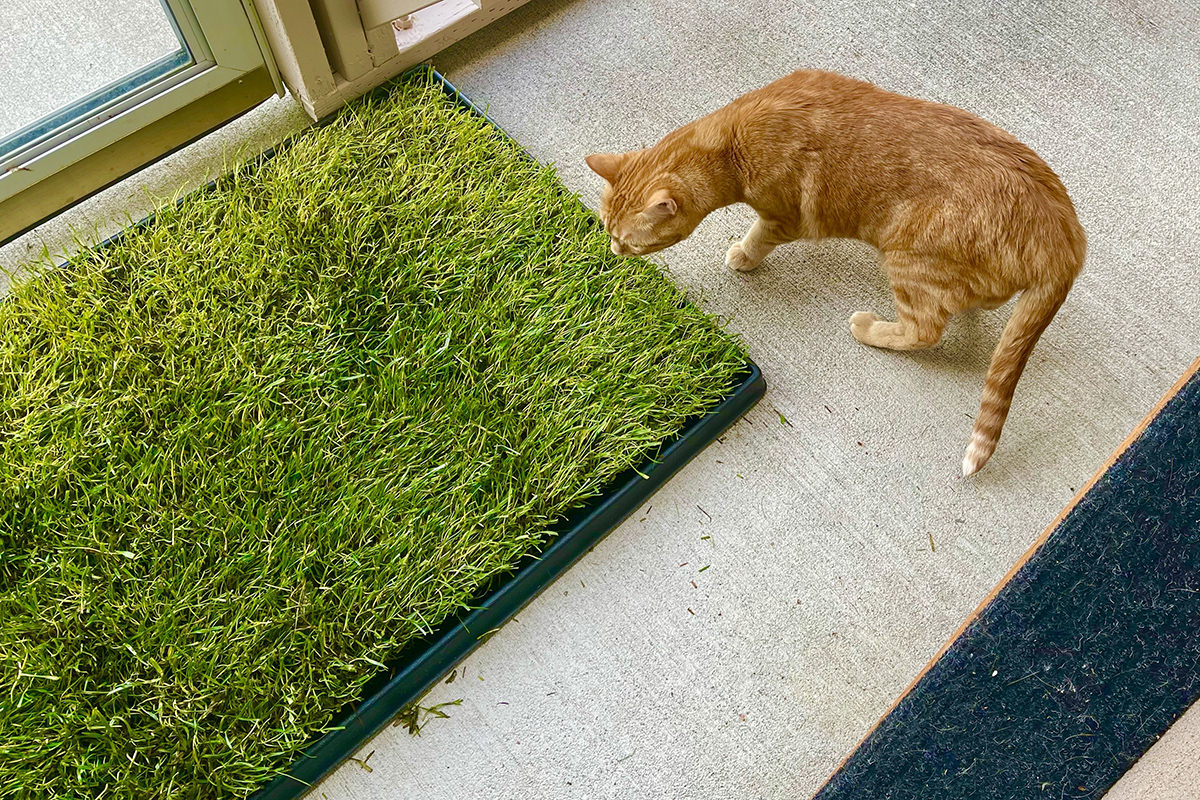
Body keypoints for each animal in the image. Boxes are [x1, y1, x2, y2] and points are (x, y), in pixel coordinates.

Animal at [590, 70, 1089, 474]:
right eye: (608, 230)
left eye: (628, 241)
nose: (612, 251)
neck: (732, 139)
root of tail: (1066, 242)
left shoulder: (783, 218)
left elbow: (757, 238)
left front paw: (743, 257)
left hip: (905, 256)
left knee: (924, 330)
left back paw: (870, 328)